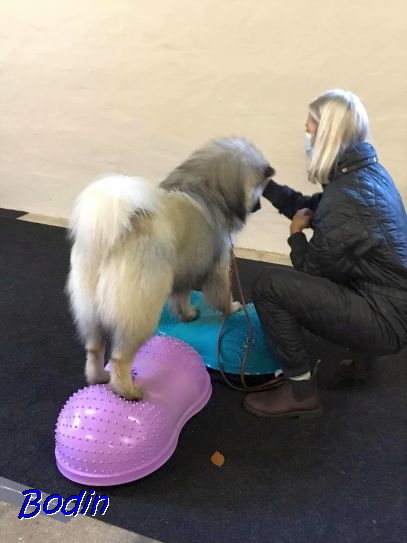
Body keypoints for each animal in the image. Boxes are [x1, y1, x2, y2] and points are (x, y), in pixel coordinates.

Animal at [67, 136, 274, 400]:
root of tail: (111, 235)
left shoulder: (182, 272)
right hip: (140, 309)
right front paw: (234, 308)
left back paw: (98, 377)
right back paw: (128, 391)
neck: (208, 190)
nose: (259, 206)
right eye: (260, 187)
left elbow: (181, 297)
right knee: (119, 357)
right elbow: (222, 295)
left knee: (94, 349)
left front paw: (187, 315)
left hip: (90, 311)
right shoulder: (219, 267)